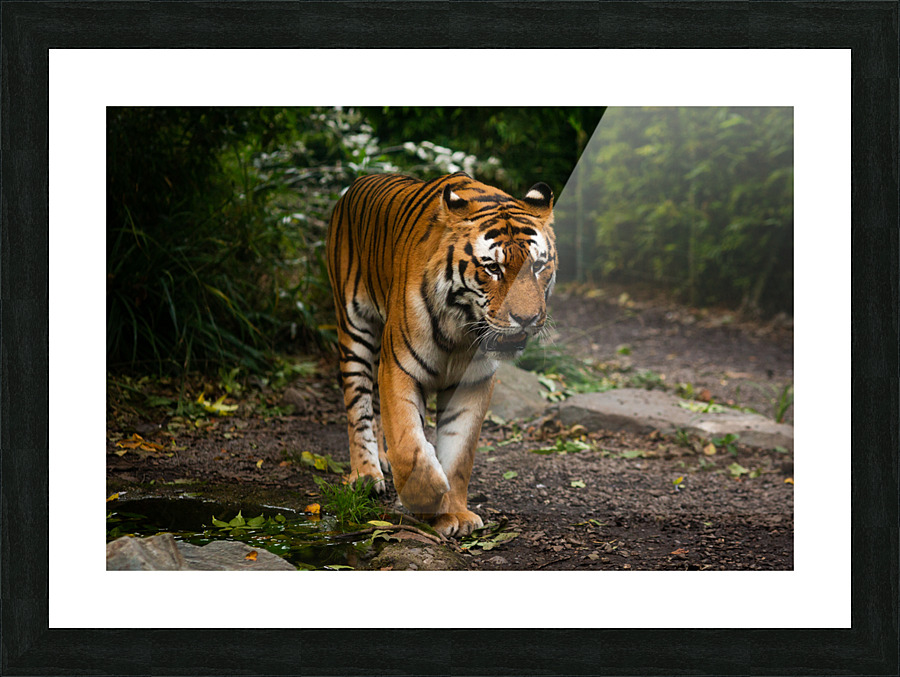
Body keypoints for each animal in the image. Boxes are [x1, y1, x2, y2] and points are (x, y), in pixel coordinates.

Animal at [326, 172, 557, 537]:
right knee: (358, 406)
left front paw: (456, 514)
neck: (462, 330)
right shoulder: (400, 368)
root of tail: (360, 180)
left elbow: (459, 453)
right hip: (354, 329)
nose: (528, 318)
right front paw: (428, 496)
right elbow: (409, 444)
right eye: (493, 268)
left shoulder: (474, 383)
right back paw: (366, 475)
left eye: (536, 266)